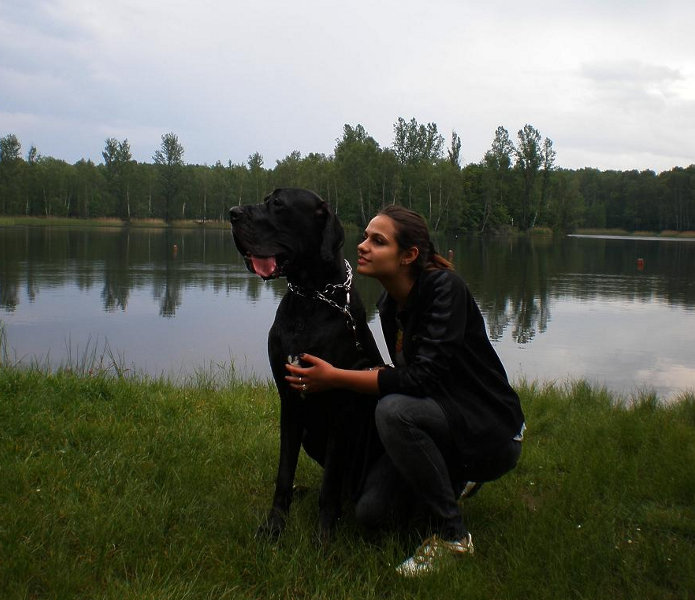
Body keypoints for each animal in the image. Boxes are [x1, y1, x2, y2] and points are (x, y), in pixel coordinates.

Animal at [229, 188, 383, 539]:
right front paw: (274, 524)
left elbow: (329, 484)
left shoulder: (340, 408)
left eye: (278, 204)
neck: (310, 298)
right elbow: (284, 471)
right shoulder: (289, 402)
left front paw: (323, 534)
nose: (231, 213)